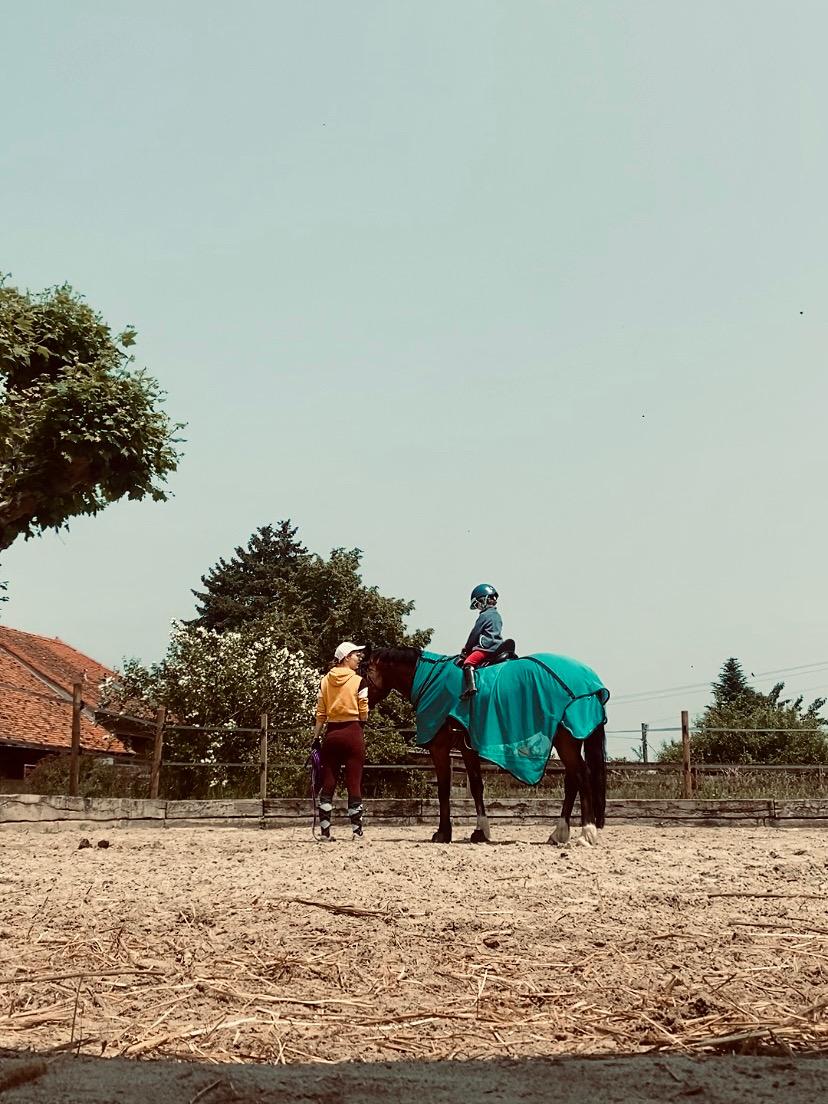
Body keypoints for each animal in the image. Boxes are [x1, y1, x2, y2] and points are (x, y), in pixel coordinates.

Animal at [361, 646, 609, 846]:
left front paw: (443, 833)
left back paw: (586, 833)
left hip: (567, 740)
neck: (430, 681)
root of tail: (590, 681)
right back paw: (559, 833)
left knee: (582, 775)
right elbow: (476, 786)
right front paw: (480, 831)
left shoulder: (440, 747)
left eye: (362, 674)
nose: (360, 706)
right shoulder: (467, 747)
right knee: (572, 781)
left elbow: (444, 789)